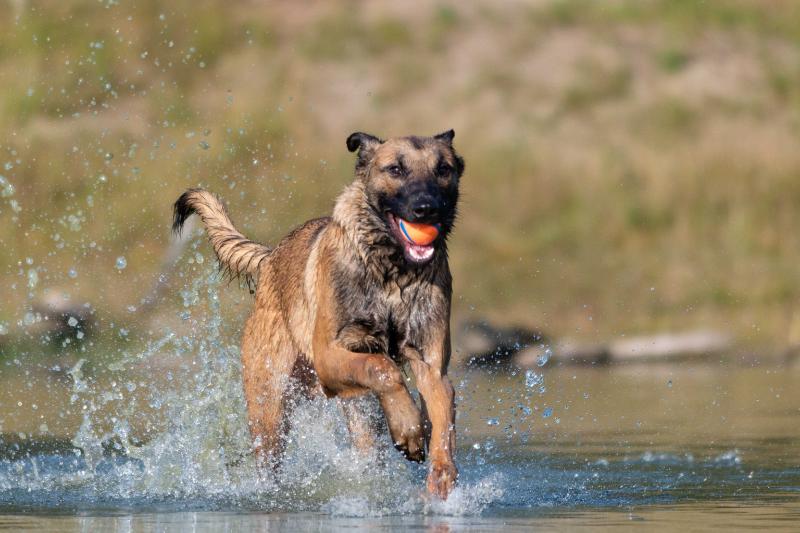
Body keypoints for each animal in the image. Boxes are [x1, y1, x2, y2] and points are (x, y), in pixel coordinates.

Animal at [172, 130, 466, 498]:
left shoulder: (431, 365)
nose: (427, 208)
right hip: (270, 408)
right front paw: (408, 426)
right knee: (270, 460)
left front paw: (441, 474)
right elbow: (383, 368)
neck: (392, 272)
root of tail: (270, 258)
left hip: (354, 412)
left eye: (443, 169)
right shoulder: (329, 356)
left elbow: (442, 417)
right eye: (395, 169)